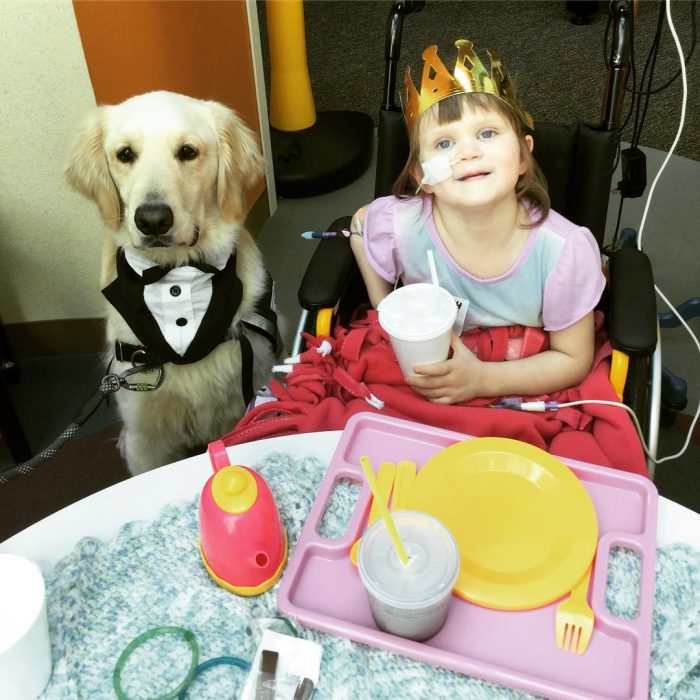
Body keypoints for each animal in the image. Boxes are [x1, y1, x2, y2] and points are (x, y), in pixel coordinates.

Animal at [66, 91, 282, 476]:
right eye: (125, 154)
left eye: (188, 152)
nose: (153, 220)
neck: (174, 275)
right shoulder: (146, 434)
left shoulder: (250, 391)